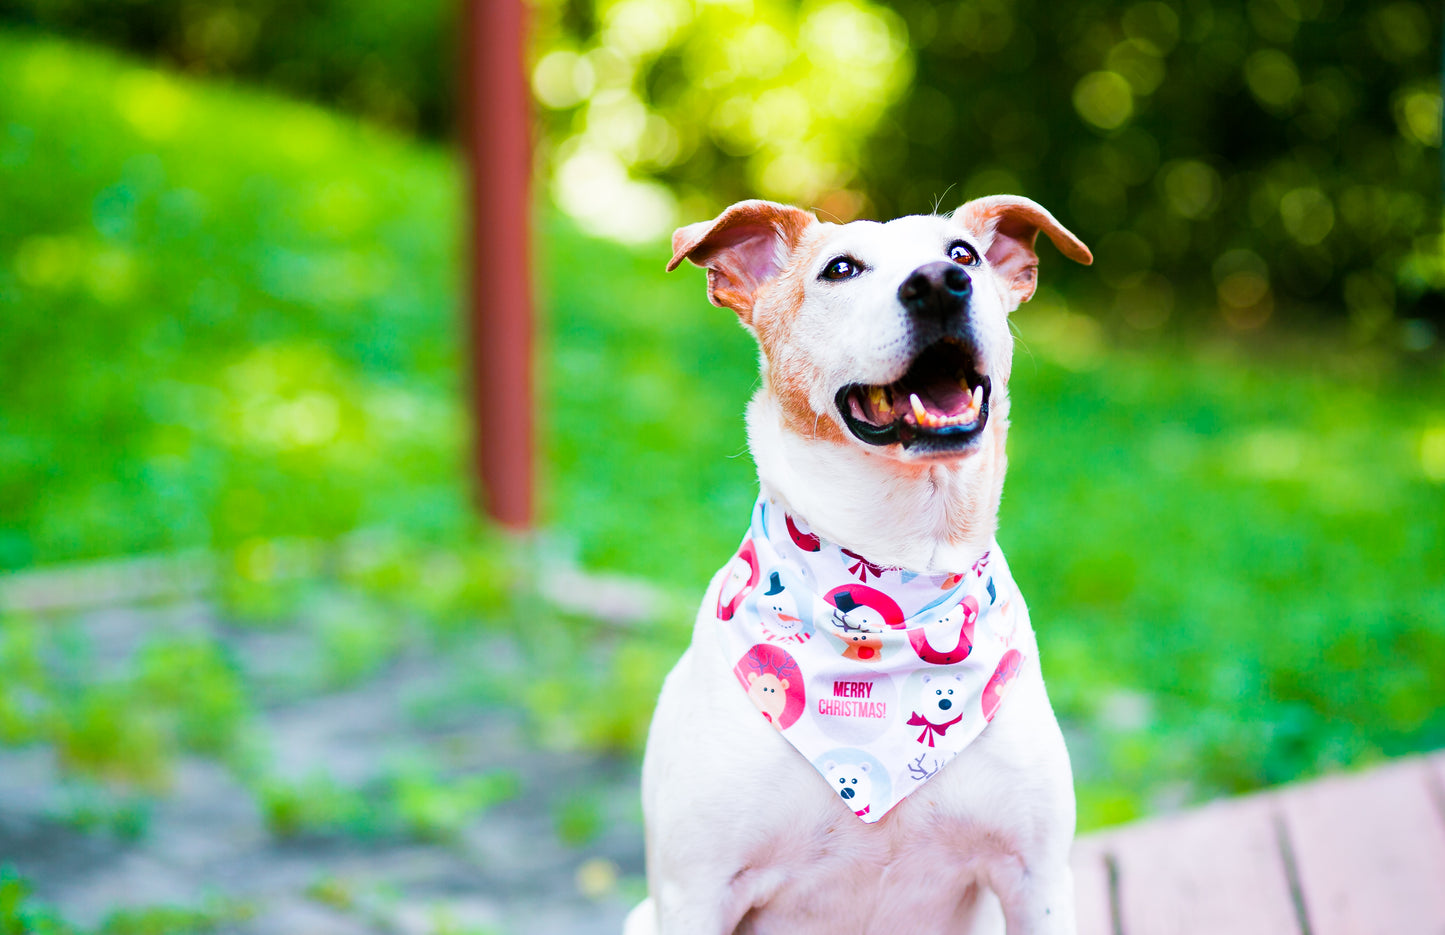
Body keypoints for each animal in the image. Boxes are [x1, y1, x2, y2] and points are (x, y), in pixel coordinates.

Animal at [627, 195, 1086, 935]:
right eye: (839, 270)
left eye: (964, 255)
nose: (940, 284)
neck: (902, 558)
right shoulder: (695, 892)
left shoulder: (1037, 879)